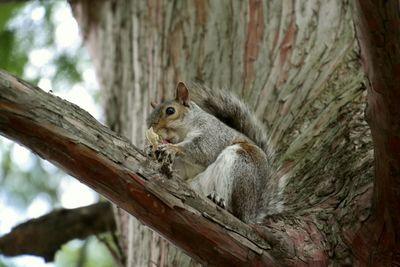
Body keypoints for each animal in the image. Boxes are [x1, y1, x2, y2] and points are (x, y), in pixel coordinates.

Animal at [145, 82, 274, 224]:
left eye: (170, 111)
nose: (153, 129)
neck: (184, 133)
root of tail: (251, 213)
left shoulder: (212, 134)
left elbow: (203, 151)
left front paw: (172, 148)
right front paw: (150, 150)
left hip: (241, 165)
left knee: (236, 212)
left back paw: (219, 199)